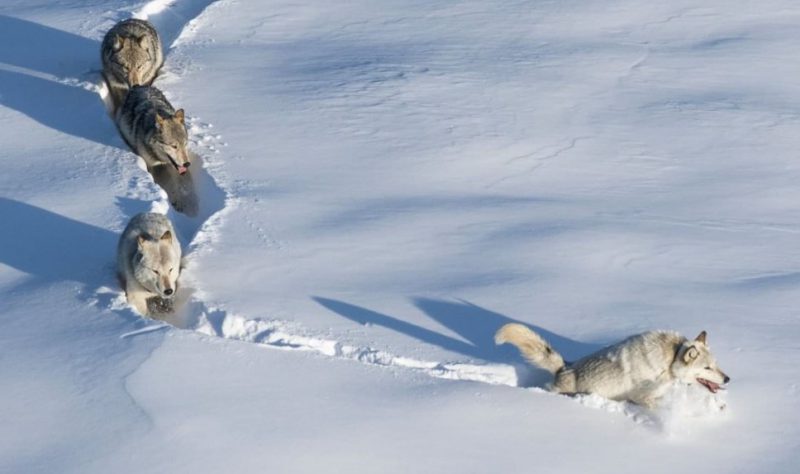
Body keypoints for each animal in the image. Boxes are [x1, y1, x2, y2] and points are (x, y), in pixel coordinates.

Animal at [496, 324, 736, 410]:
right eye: (707, 368)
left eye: (715, 365)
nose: (727, 379)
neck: (670, 361)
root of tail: (564, 367)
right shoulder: (642, 397)